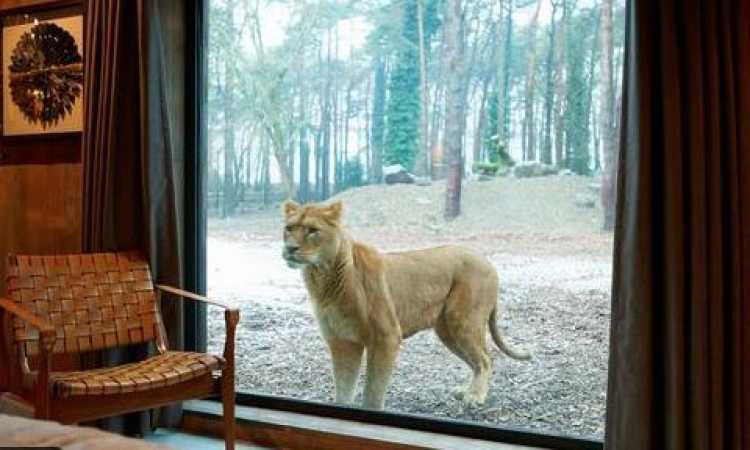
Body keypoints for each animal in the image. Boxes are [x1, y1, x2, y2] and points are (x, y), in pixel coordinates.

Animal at [281, 200, 530, 410]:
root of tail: (486, 259)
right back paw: (466, 391)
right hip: (447, 330)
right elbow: (343, 387)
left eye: (312, 230)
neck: (322, 279)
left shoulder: (386, 337)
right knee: (476, 361)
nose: (290, 248)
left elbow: (373, 390)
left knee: (485, 359)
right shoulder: (342, 341)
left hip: (463, 320)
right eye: (289, 228)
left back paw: (475, 397)